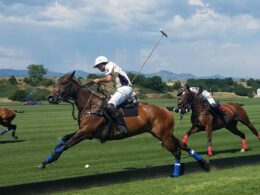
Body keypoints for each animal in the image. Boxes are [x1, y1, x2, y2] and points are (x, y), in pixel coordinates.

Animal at [37, 71, 210, 177]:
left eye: (64, 82)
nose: (50, 97)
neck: (90, 106)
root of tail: (166, 110)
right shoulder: (84, 131)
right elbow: (63, 139)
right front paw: (46, 160)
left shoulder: (86, 132)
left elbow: (65, 145)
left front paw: (48, 161)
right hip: (163, 134)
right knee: (183, 145)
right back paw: (203, 162)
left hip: (164, 136)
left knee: (177, 151)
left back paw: (176, 173)